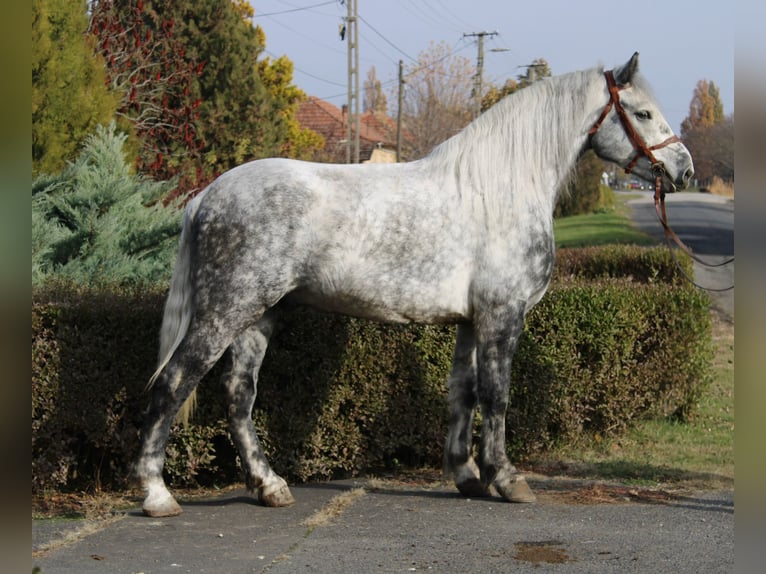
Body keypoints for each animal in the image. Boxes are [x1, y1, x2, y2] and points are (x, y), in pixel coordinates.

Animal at [136, 53, 694, 517]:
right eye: (643, 113)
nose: (683, 169)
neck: (501, 186)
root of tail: (208, 195)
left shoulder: (471, 321)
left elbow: (463, 392)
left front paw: (467, 475)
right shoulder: (503, 315)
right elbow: (497, 395)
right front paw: (507, 479)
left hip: (258, 316)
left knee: (238, 392)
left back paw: (269, 486)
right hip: (225, 311)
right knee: (174, 382)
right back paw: (157, 494)